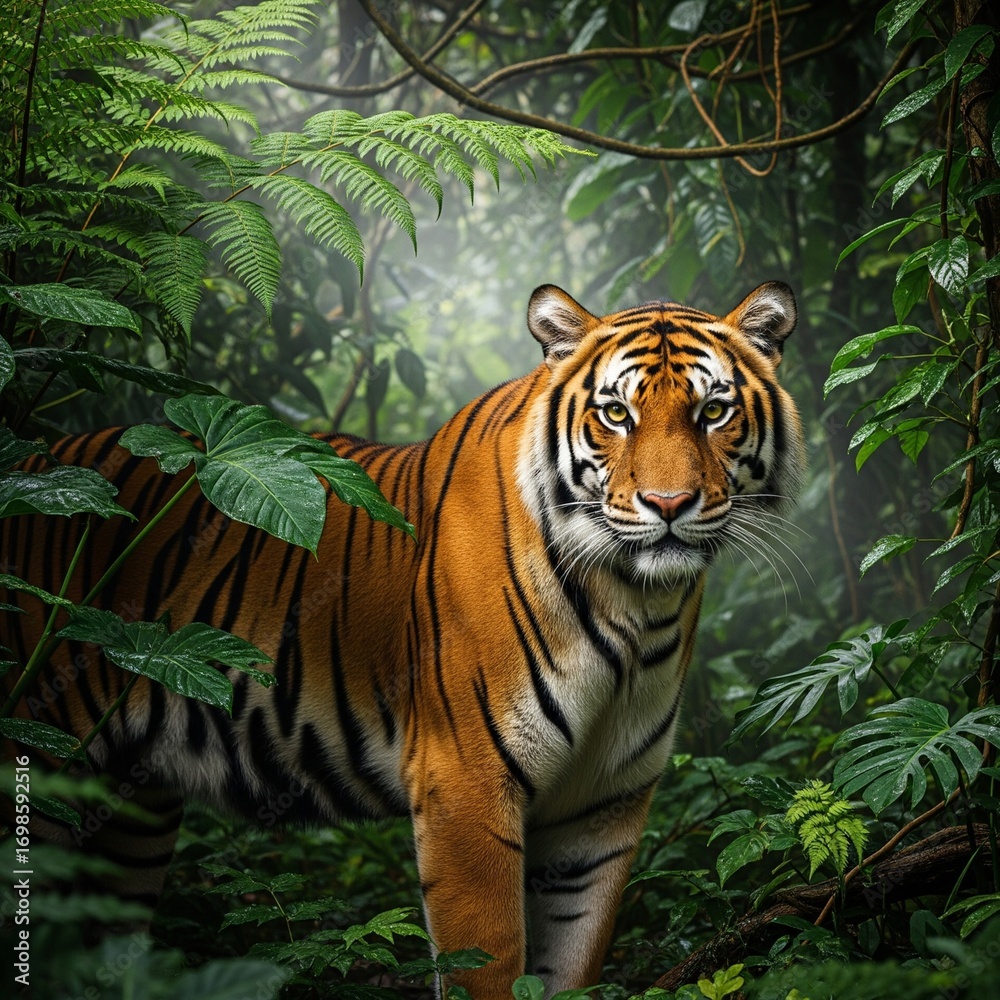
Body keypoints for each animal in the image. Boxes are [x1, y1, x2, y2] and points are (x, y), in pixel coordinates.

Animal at [2, 281, 803, 998]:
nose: (669, 505)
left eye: (713, 410)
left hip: (131, 817)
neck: (637, 605)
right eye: (616, 413)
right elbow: (487, 967)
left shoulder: (602, 812)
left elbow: (569, 965)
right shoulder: (466, 785)